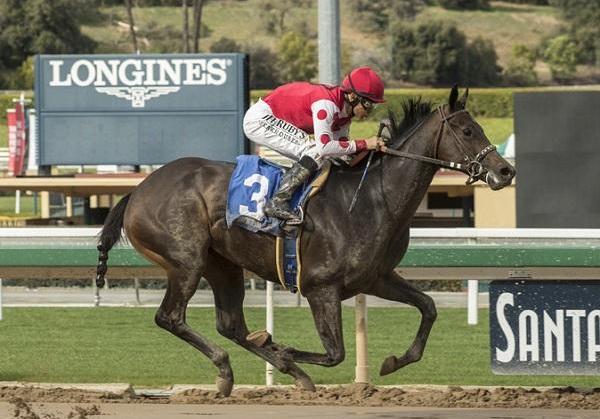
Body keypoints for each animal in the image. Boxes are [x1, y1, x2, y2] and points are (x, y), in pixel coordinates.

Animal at [96, 86, 512, 398]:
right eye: (468, 131)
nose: (505, 171)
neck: (374, 198)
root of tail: (138, 190)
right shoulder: (320, 287)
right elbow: (335, 353)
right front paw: (282, 350)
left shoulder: (376, 278)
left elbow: (428, 307)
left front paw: (393, 361)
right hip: (186, 260)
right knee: (170, 317)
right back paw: (246, 364)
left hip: (223, 264)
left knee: (230, 325)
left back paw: (253, 369)